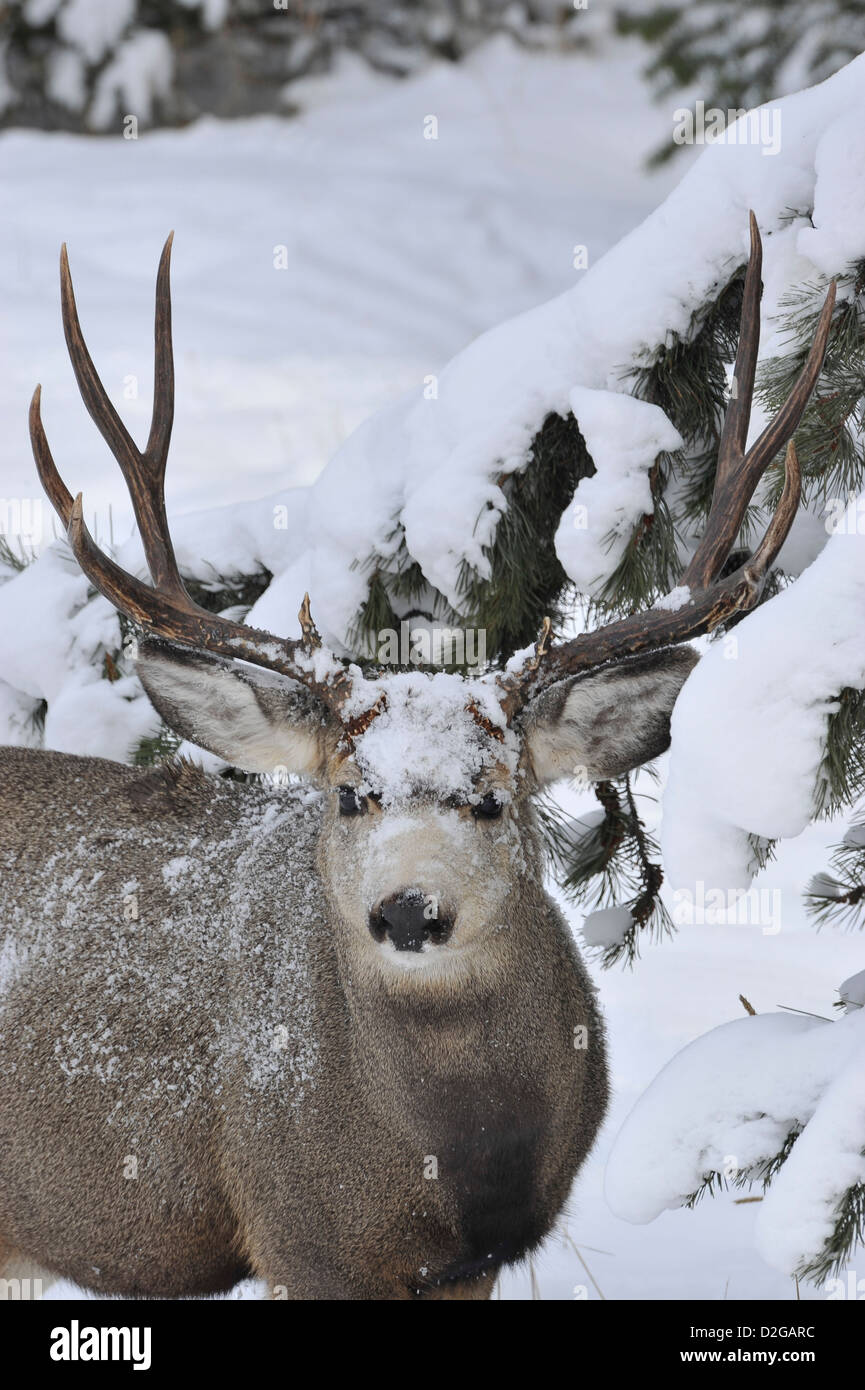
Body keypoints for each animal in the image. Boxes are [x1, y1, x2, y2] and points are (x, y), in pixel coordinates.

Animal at [0, 215, 834, 1300]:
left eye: (491, 799)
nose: (406, 910)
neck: (449, 1166)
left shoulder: (477, 1260)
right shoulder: (297, 1231)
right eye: (351, 795)